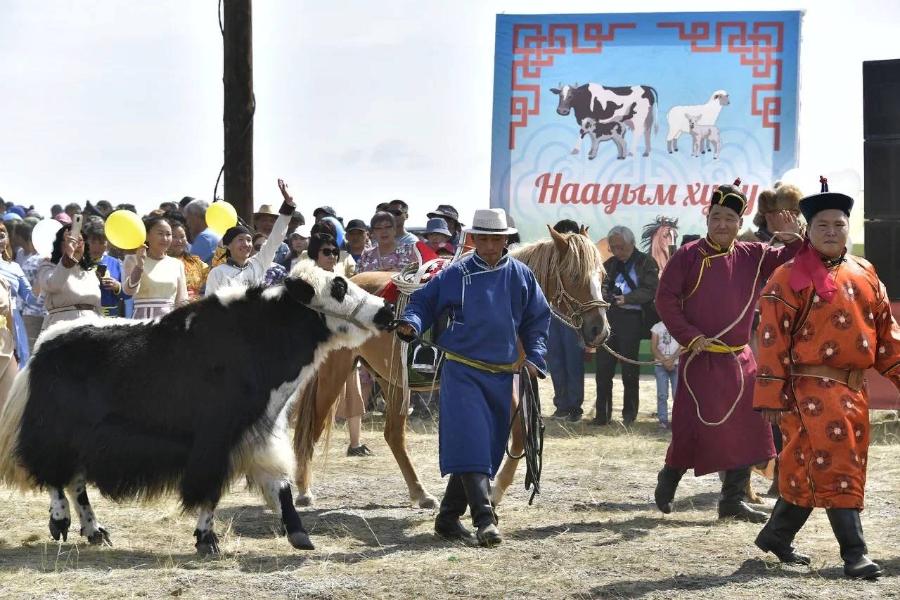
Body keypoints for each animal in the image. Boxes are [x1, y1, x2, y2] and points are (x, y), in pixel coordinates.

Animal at [292, 227, 608, 508]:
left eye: (603, 275)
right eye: (575, 275)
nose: (599, 330)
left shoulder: (512, 378)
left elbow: (518, 436)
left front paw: (495, 491)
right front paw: (490, 491)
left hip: (392, 379)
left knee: (393, 435)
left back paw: (421, 494)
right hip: (335, 370)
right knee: (311, 428)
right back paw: (304, 490)